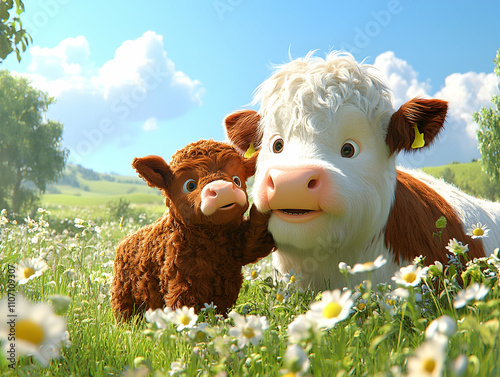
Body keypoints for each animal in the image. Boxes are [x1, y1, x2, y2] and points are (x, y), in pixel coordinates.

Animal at [112, 140, 276, 318]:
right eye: (190, 185)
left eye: (237, 180)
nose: (223, 189)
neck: (213, 239)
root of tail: (124, 240)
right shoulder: (182, 279)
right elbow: (182, 304)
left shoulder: (239, 245)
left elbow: (255, 239)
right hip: (123, 294)